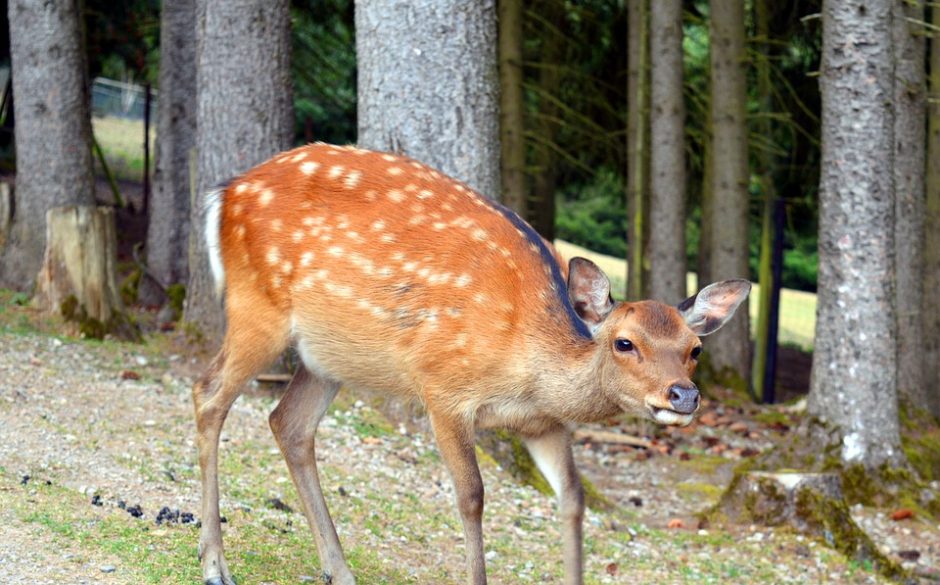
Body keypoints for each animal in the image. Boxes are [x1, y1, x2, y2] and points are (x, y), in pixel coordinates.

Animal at [191, 141, 748, 584]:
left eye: (694, 349)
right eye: (625, 343)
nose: (683, 395)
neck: (528, 368)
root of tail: (225, 193)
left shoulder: (544, 423)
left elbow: (573, 500)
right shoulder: (443, 387)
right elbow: (472, 496)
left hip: (326, 356)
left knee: (289, 423)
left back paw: (339, 570)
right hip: (257, 306)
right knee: (208, 393)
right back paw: (215, 564)